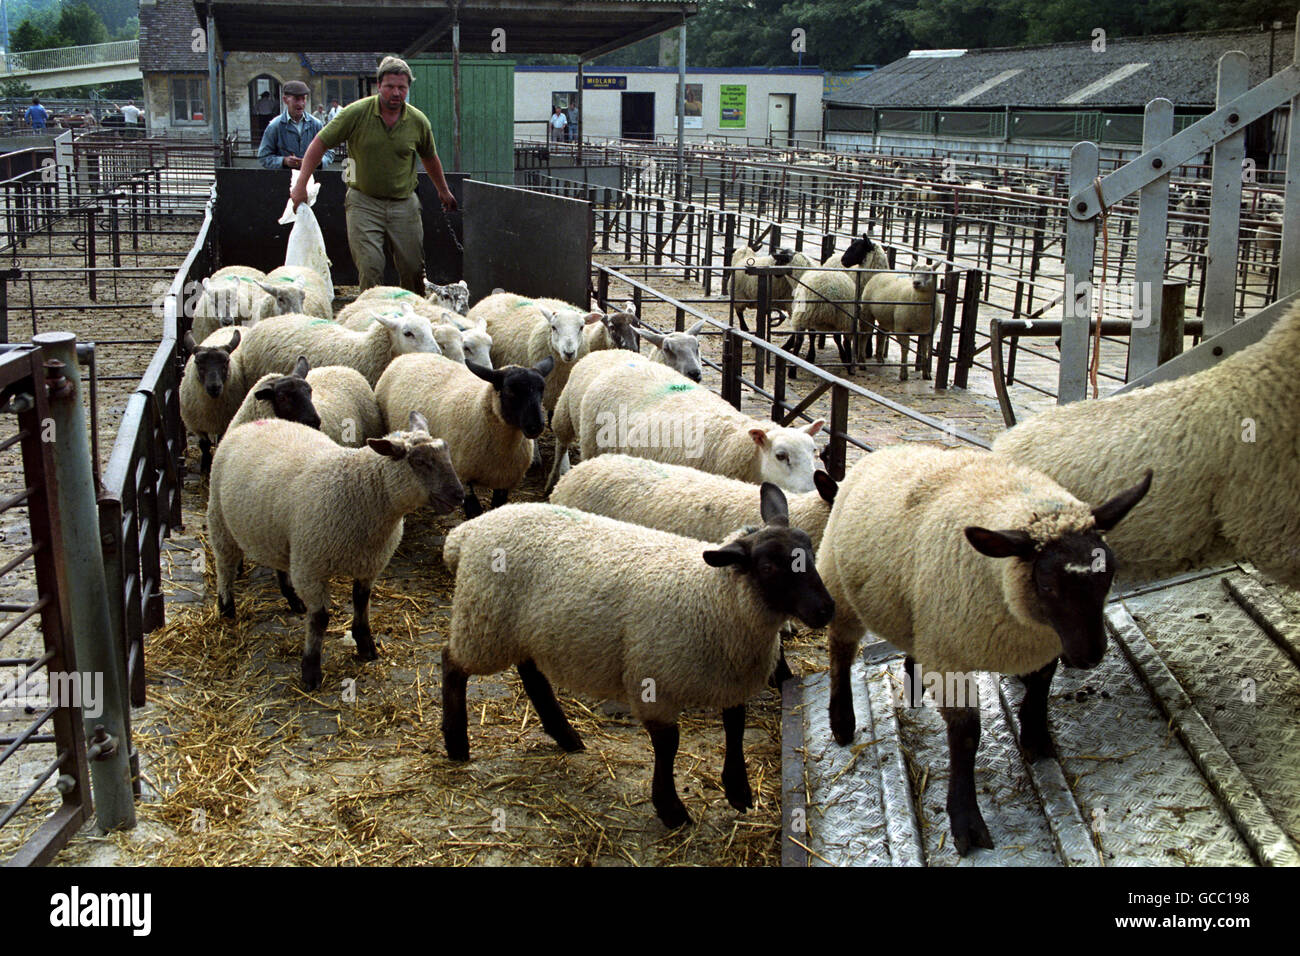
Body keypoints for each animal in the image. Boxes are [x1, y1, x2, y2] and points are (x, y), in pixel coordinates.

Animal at [179, 327, 243, 475]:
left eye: (226, 362)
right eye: (198, 363)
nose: (214, 387)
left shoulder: (224, 422)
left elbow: (219, 441)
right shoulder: (196, 425)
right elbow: (204, 444)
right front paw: (205, 465)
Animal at [209, 413, 463, 690]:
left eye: (447, 452)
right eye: (419, 462)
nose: (459, 495)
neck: (358, 490)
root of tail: (258, 421)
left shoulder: (369, 565)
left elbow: (361, 603)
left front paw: (365, 646)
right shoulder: (311, 568)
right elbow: (320, 619)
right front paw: (310, 671)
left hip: (277, 534)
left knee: (278, 562)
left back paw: (293, 600)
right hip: (220, 519)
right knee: (224, 563)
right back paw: (227, 608)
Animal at [374, 353, 553, 518]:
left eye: (542, 389)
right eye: (510, 390)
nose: (536, 426)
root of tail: (409, 354)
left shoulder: (504, 482)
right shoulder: (462, 476)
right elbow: (474, 512)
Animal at [440, 483, 835, 828]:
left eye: (810, 551)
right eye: (768, 568)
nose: (825, 610)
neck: (711, 595)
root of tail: (469, 531)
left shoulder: (729, 679)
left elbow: (735, 728)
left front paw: (738, 791)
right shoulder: (654, 680)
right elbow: (668, 746)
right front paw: (671, 809)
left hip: (519, 629)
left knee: (531, 674)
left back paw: (565, 735)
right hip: (483, 621)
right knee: (452, 663)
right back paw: (457, 743)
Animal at [818, 444, 1151, 854]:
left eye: (1109, 574)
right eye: (1048, 585)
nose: (1090, 655)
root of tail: (888, 450)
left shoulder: (1043, 644)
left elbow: (1041, 687)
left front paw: (1036, 737)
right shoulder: (951, 656)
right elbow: (966, 735)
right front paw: (966, 820)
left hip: (917, 608)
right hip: (840, 588)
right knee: (840, 649)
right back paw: (842, 720)